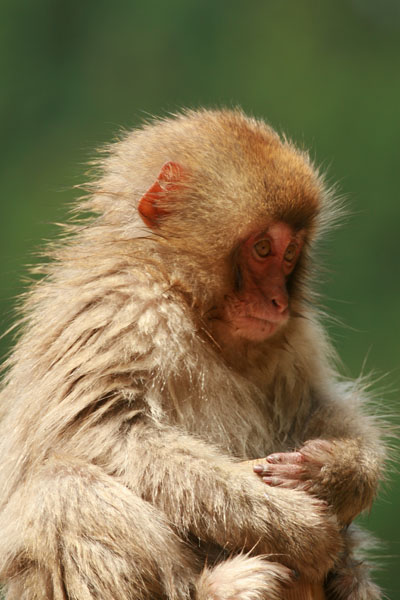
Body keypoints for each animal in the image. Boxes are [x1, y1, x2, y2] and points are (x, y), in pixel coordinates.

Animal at [0, 109, 388, 600]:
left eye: (290, 255)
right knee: (65, 487)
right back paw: (218, 588)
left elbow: (318, 403)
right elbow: (105, 431)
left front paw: (336, 473)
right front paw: (293, 523)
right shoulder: (124, 310)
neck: (188, 302)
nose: (278, 301)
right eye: (263, 248)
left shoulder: (294, 338)